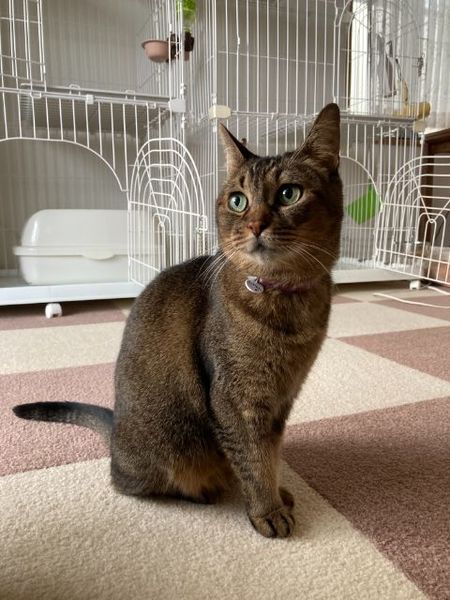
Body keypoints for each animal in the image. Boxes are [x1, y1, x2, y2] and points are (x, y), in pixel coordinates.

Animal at [14, 103, 343, 539]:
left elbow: (269, 454)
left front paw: (277, 492)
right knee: (128, 482)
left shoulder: (281, 400)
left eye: (290, 193)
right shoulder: (235, 400)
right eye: (238, 201)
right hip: (165, 448)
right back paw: (203, 489)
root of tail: (116, 431)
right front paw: (267, 510)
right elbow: (253, 459)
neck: (286, 302)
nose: (255, 224)